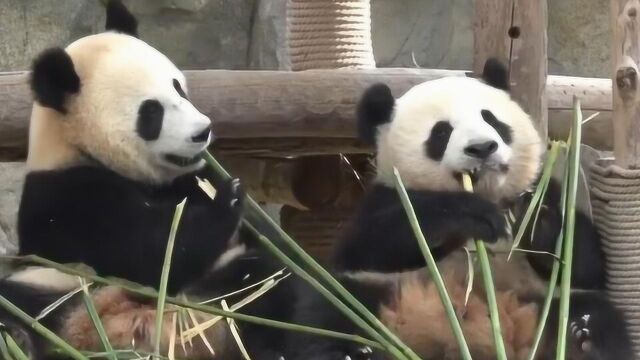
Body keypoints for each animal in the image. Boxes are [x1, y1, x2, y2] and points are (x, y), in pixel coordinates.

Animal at [0, 1, 292, 358]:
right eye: (151, 112)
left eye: (177, 87)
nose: (203, 131)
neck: (74, 146)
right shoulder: (70, 199)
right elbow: (152, 252)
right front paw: (229, 197)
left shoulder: (186, 178)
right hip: (59, 286)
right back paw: (21, 337)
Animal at [286, 59, 636, 360]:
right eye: (441, 132)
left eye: (491, 119)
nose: (482, 148)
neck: (487, 193)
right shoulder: (385, 197)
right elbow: (370, 243)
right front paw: (473, 215)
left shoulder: (545, 189)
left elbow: (585, 263)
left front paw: (536, 220)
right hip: (378, 294)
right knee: (332, 311)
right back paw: (350, 352)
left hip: (542, 305)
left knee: (596, 316)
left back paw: (583, 339)